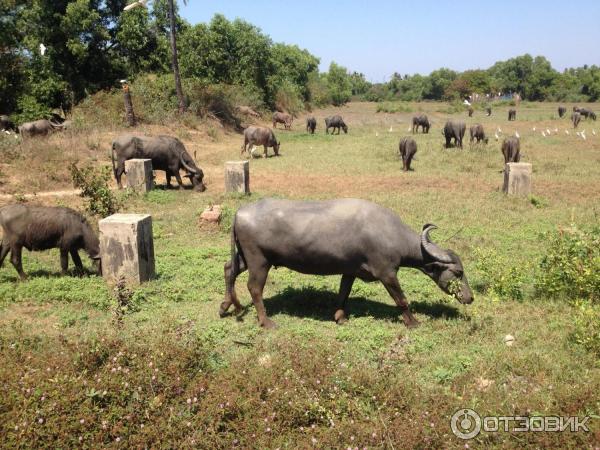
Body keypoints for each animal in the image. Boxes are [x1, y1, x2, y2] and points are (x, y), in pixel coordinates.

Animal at [220, 199, 474, 328]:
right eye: (458, 272)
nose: (470, 298)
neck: (390, 233)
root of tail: (239, 213)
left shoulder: (349, 270)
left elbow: (343, 293)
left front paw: (340, 316)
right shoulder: (387, 273)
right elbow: (401, 299)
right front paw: (413, 322)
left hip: (246, 257)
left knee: (229, 269)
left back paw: (228, 306)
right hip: (259, 260)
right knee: (254, 288)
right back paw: (266, 321)